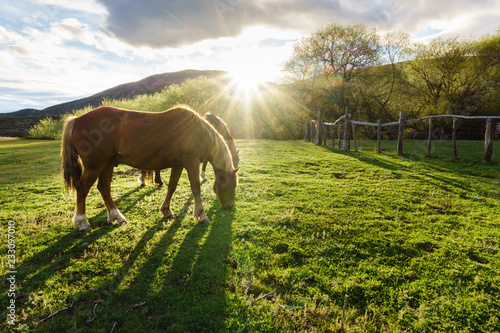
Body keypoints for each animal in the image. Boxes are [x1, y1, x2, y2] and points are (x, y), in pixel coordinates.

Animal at [61, 105, 238, 230]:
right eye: (234, 185)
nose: (229, 207)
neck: (197, 131)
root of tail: (77, 119)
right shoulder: (191, 161)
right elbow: (195, 187)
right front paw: (201, 215)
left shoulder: (178, 164)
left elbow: (172, 186)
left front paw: (166, 210)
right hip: (95, 165)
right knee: (83, 188)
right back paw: (82, 222)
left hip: (107, 164)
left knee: (104, 188)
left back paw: (117, 217)